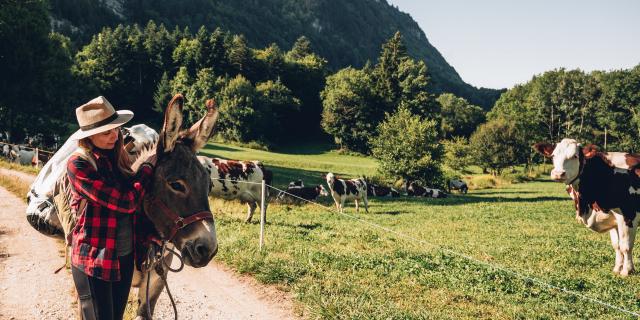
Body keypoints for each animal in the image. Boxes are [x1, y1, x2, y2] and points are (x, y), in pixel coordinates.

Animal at [532, 139, 640, 276]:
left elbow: (626, 246)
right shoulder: (612, 219)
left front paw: (627, 271)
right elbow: (617, 245)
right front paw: (617, 269)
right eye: (553, 156)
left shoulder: (628, 214)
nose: (558, 173)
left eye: (575, 156)